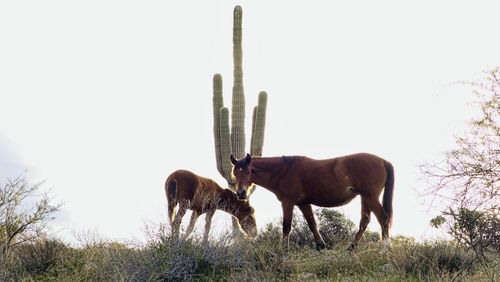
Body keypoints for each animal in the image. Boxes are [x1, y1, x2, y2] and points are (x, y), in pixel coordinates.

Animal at [230, 152, 394, 251]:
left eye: (248, 171)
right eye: (235, 173)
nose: (241, 193)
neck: (284, 171)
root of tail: (383, 161)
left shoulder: (288, 202)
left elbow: (286, 227)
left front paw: (283, 250)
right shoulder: (303, 203)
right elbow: (312, 224)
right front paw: (321, 246)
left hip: (370, 197)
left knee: (383, 218)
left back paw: (385, 247)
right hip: (365, 198)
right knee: (364, 222)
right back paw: (351, 248)